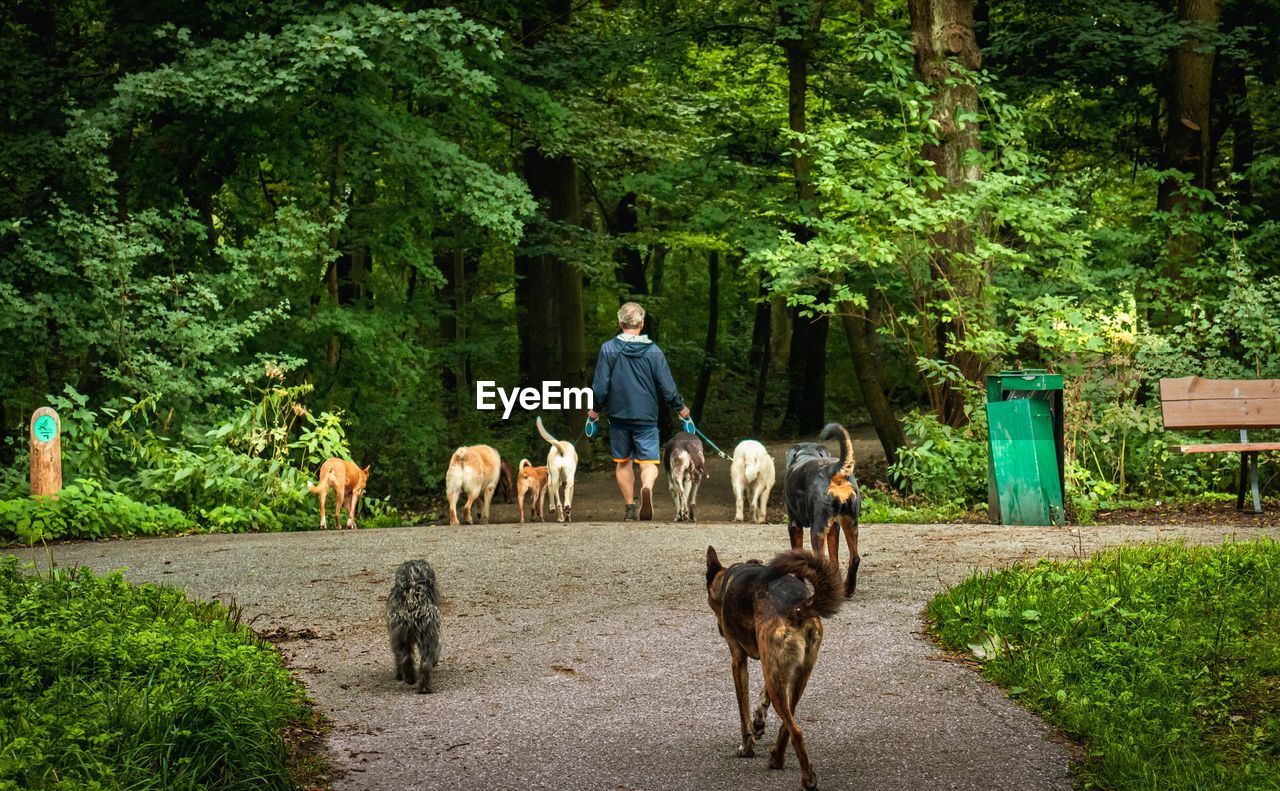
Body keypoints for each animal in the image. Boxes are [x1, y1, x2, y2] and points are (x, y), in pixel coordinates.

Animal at [384, 558, 445, 691]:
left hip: (403, 637)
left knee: (404, 658)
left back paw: (410, 679)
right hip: (426, 636)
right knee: (424, 663)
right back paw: (422, 686)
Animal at [706, 542, 844, 788]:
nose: (719, 628)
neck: (728, 580)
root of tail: (797, 608)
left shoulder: (738, 661)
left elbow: (743, 712)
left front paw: (747, 747)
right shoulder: (773, 664)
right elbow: (762, 699)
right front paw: (758, 722)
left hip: (777, 673)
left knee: (795, 730)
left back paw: (808, 778)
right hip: (794, 677)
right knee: (787, 724)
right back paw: (777, 759)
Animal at [778, 422, 860, 593]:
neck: (806, 454)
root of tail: (833, 469)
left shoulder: (794, 526)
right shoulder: (834, 527)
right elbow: (834, 560)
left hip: (817, 530)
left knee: (821, 561)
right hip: (850, 523)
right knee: (854, 558)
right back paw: (847, 589)